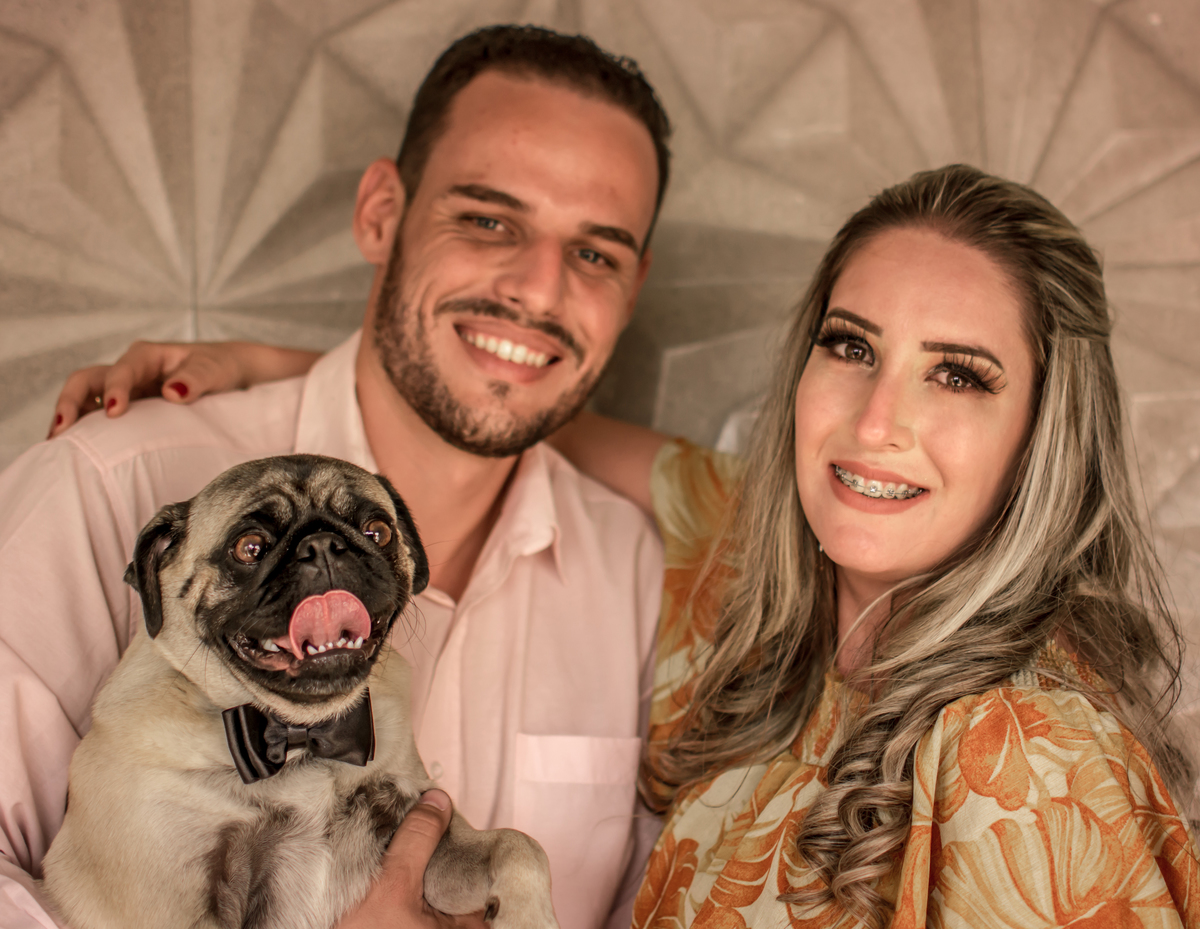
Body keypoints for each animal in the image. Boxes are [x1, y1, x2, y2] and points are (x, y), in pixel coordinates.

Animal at [42, 454, 558, 929]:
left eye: (378, 531)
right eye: (249, 547)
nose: (324, 545)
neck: (299, 736)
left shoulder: (426, 829)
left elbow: (519, 845)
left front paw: (530, 917)